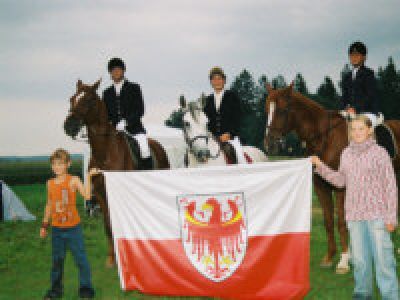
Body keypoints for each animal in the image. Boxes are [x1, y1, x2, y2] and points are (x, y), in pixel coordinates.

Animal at [63, 78, 170, 266]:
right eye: (72, 99)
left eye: (89, 100)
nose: (69, 126)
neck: (105, 153)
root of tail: (158, 145)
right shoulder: (101, 194)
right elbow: (108, 224)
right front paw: (112, 259)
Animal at [262, 82, 400, 274]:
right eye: (267, 110)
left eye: (283, 110)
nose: (269, 145)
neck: (325, 138)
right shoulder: (321, 187)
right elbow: (328, 221)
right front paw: (329, 257)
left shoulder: (341, 188)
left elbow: (341, 222)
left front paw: (344, 260)